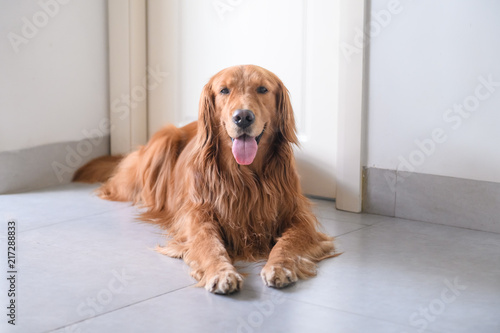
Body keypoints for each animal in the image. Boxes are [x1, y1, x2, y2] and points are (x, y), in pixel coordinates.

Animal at [74, 65, 338, 294]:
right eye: (224, 90)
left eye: (263, 89)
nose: (243, 117)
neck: (245, 176)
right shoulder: (197, 216)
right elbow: (209, 244)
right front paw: (221, 273)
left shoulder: (298, 217)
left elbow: (288, 243)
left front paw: (279, 266)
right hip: (164, 141)